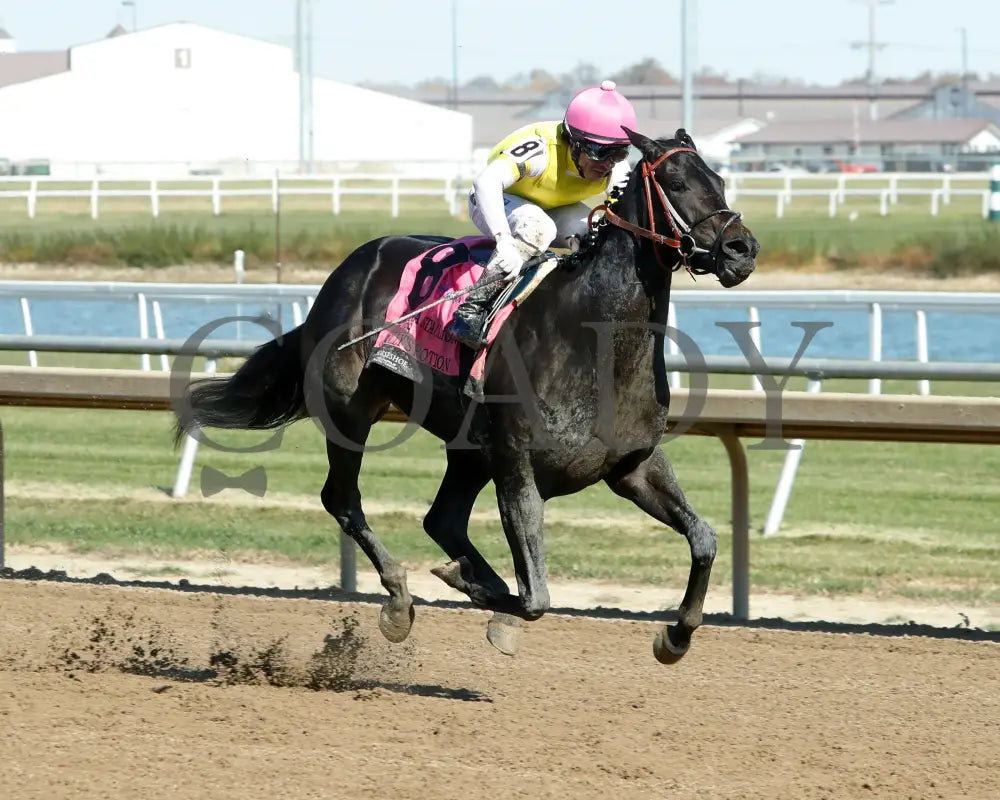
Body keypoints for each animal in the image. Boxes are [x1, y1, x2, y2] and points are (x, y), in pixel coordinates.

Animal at [174, 128, 759, 664]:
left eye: (720, 178)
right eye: (676, 182)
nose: (742, 249)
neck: (595, 339)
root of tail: (345, 272)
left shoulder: (632, 465)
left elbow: (704, 538)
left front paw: (675, 635)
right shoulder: (515, 463)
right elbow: (535, 596)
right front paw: (477, 590)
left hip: (466, 449)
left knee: (441, 518)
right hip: (351, 413)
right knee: (344, 500)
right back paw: (400, 600)